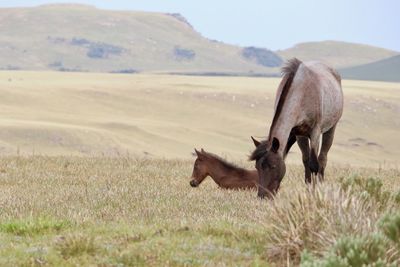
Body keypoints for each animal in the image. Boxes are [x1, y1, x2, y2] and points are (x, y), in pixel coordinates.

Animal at [252, 58, 342, 199]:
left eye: (273, 166)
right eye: (257, 167)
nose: (262, 196)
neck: (301, 92)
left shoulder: (315, 132)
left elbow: (314, 164)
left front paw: (315, 193)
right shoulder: (299, 134)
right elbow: (305, 161)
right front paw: (308, 188)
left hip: (331, 128)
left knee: (322, 159)